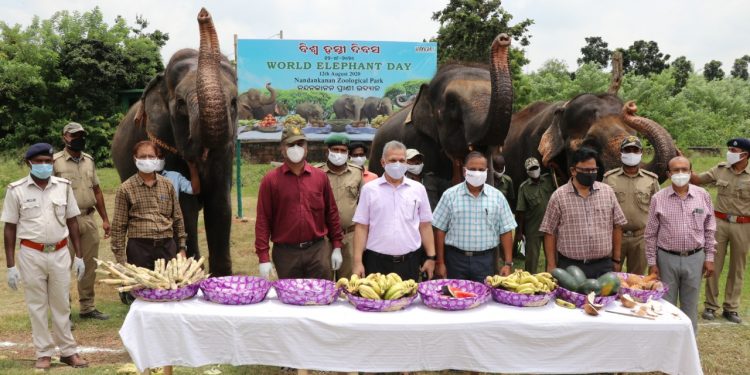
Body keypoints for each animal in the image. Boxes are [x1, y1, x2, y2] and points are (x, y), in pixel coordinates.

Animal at [109, 8, 235, 278]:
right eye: (180, 104)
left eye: (233, 102)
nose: (203, 13)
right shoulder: (164, 139)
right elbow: (184, 209)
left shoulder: (225, 153)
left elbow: (220, 205)